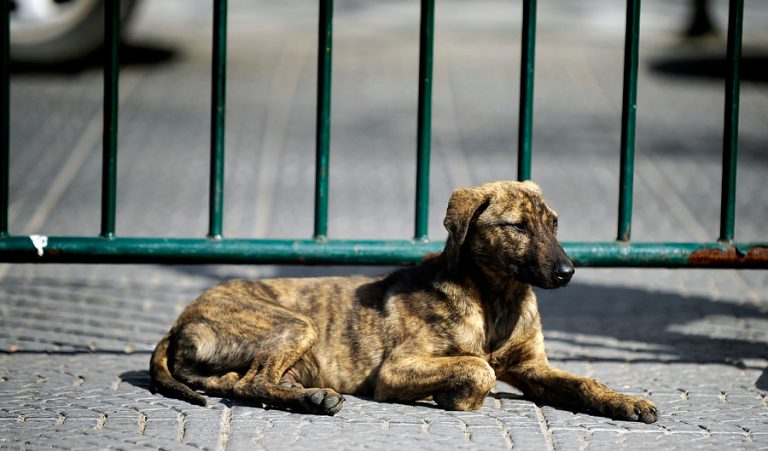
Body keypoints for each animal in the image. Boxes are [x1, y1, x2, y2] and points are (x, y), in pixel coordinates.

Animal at [150, 180, 658, 423]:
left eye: (554, 224)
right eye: (516, 226)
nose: (568, 273)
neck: (497, 299)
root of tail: (179, 322)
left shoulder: (533, 367)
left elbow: (584, 383)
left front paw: (626, 402)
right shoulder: (396, 370)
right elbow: (478, 367)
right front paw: (456, 396)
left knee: (238, 382)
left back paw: (308, 397)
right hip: (296, 324)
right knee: (250, 383)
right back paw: (312, 400)